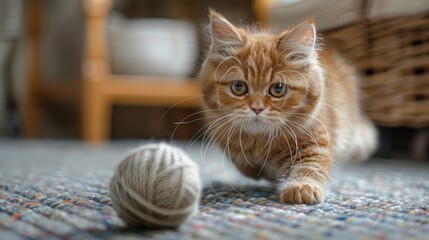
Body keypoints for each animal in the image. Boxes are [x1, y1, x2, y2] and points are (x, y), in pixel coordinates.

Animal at [199, 10, 376, 203]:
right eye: (239, 87)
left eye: (278, 89)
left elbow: (310, 167)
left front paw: (302, 187)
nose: (257, 108)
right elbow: (246, 164)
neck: (260, 140)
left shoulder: (315, 142)